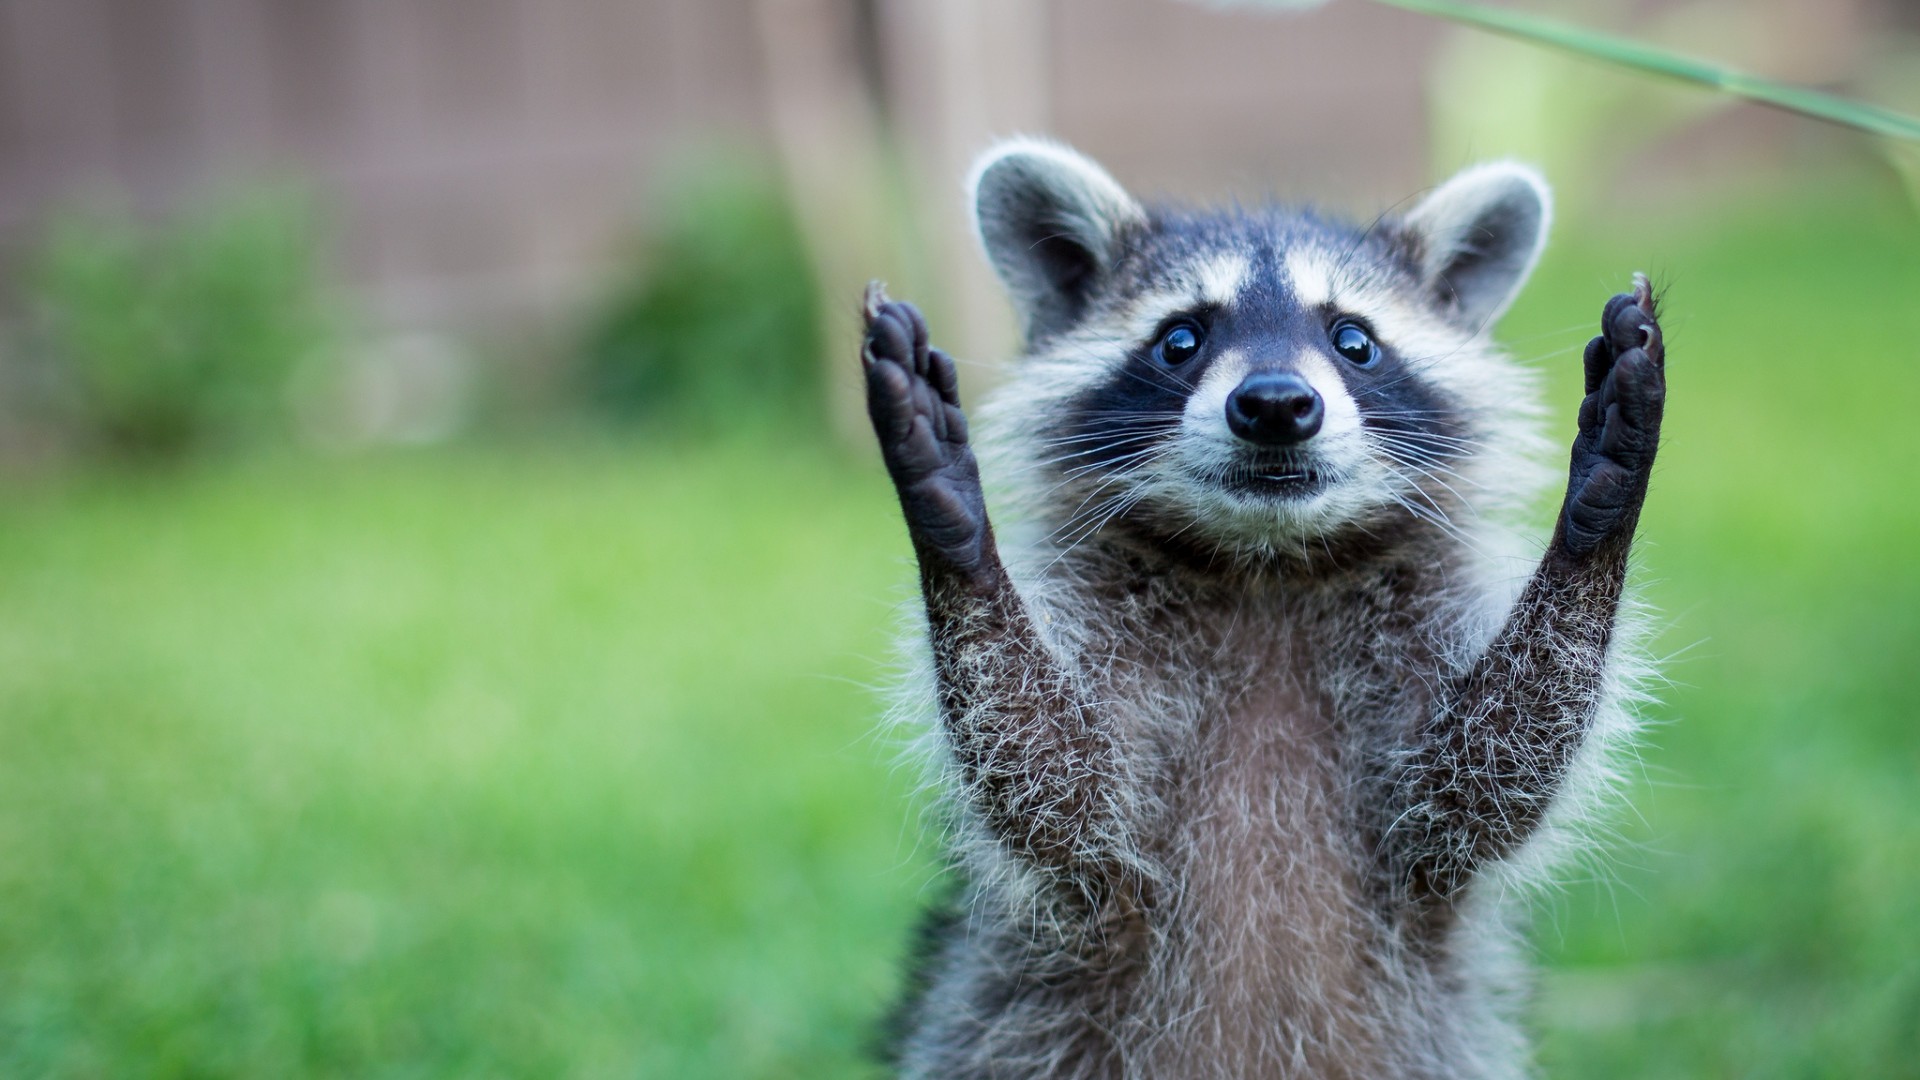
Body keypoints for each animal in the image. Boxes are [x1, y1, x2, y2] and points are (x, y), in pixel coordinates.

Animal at [867, 138, 1666, 1068]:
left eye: (1354, 340)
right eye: (1181, 338)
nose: (1277, 404)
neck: (1268, 566)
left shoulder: (1421, 653)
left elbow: (1487, 774)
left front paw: (1595, 519)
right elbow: (1054, 780)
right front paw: (957, 532)